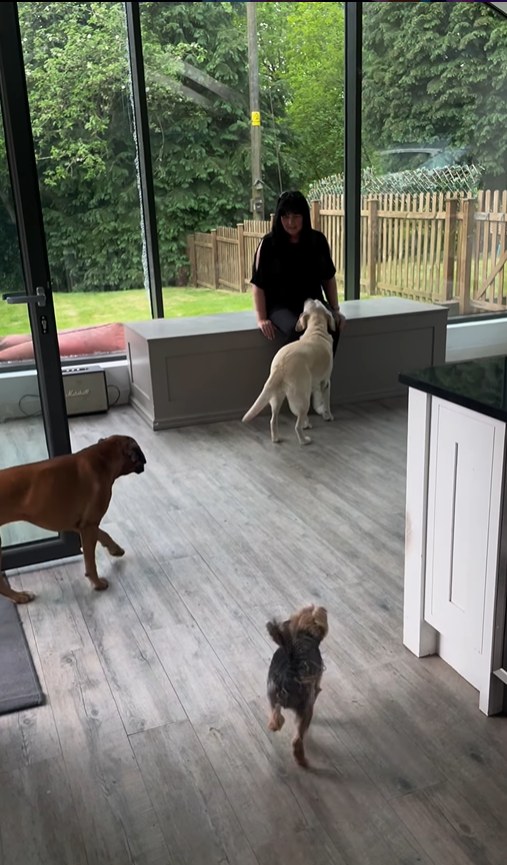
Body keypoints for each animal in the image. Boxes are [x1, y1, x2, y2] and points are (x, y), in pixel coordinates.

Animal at [0, 436, 147, 604]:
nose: (145, 461)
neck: (103, 457)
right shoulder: (89, 526)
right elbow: (90, 561)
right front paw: (97, 583)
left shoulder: (81, 525)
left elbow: (104, 534)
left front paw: (115, 548)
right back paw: (19, 596)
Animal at [243, 298, 336, 446]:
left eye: (313, 302)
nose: (309, 298)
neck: (315, 329)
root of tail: (281, 366)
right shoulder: (326, 382)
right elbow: (326, 401)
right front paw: (328, 416)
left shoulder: (312, 384)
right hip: (301, 398)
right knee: (297, 425)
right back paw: (304, 440)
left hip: (277, 397)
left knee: (273, 420)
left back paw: (277, 438)